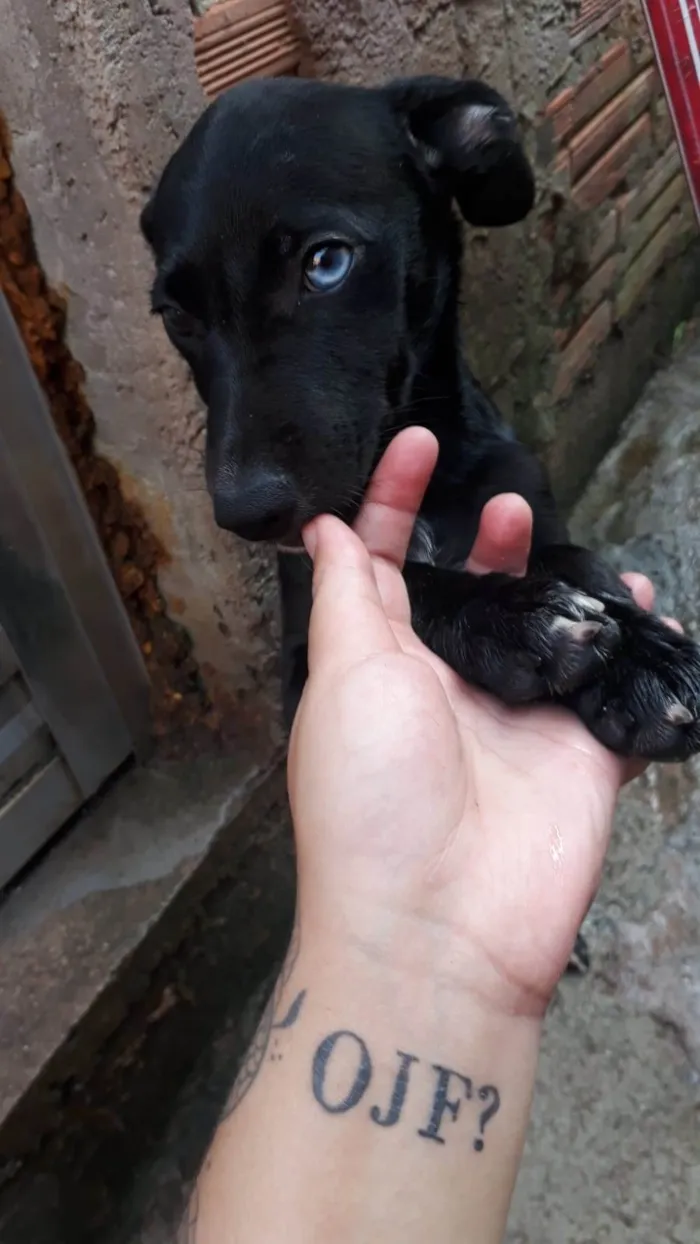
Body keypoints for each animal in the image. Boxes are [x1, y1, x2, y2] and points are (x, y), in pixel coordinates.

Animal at [141, 77, 700, 761]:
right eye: (175, 316)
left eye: (325, 262)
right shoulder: (303, 662)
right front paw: (513, 613)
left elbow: (577, 558)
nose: (245, 514)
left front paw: (648, 655)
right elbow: (407, 581)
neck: (431, 476)